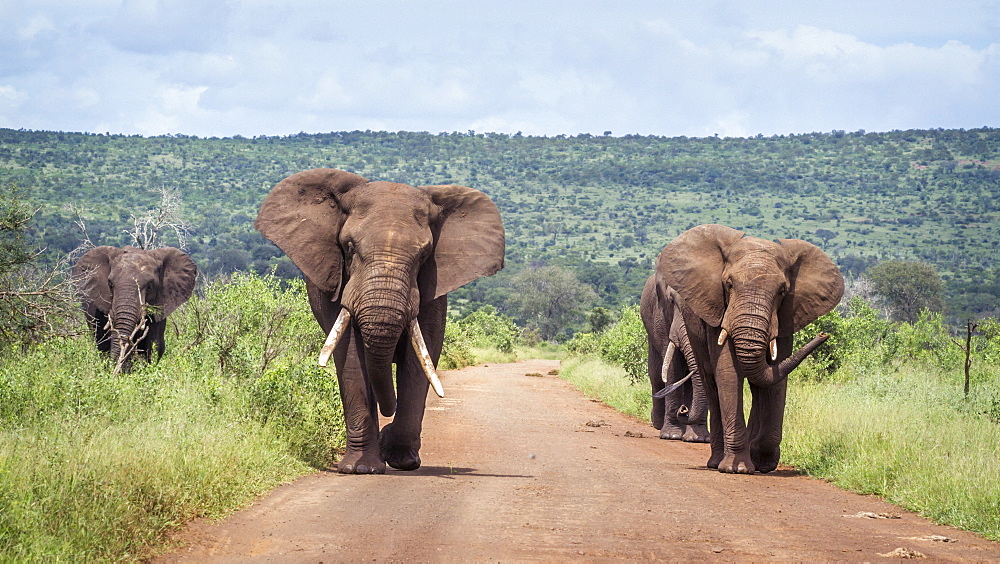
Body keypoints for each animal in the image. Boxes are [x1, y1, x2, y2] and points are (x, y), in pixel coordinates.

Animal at [256, 169, 508, 476]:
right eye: (349, 247)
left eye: (424, 255)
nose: (387, 422)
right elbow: (352, 355)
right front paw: (360, 469)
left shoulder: (433, 287)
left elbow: (420, 356)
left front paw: (402, 460)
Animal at [640, 276, 712, 442]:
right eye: (672, 301)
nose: (683, 410)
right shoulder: (661, 317)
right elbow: (672, 369)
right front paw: (670, 435)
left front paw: (699, 439)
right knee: (655, 375)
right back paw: (657, 423)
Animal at [656, 225, 844, 476]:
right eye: (729, 284)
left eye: (782, 291)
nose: (824, 335)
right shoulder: (719, 310)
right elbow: (728, 373)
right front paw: (737, 469)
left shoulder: (786, 316)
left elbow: (775, 377)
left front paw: (763, 462)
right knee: (712, 385)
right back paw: (717, 462)